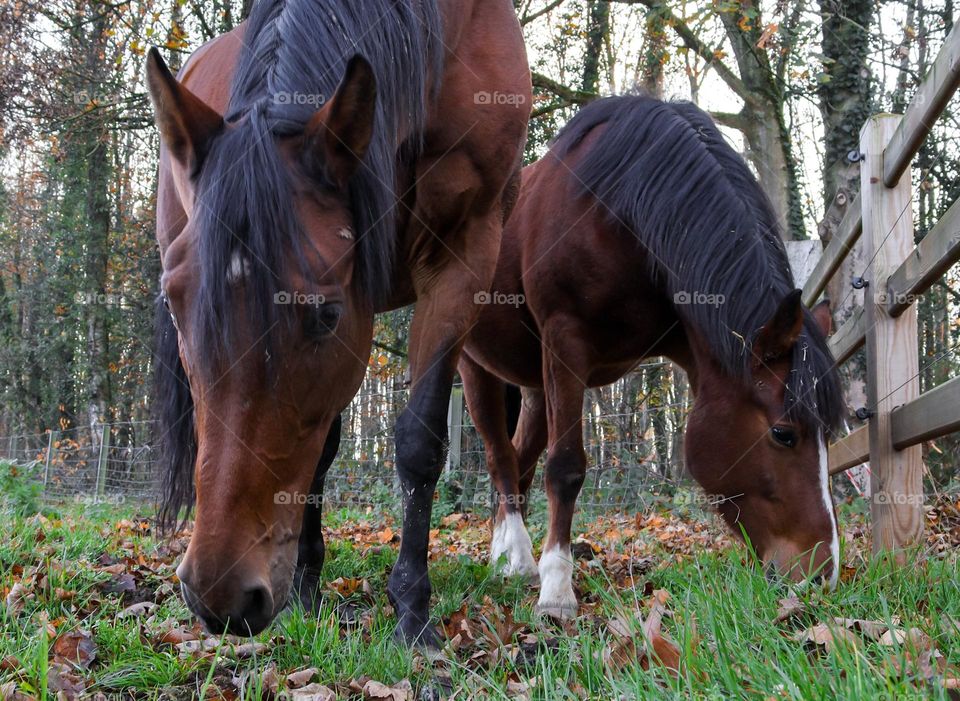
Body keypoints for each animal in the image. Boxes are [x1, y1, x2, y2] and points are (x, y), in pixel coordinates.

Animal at [148, 0, 532, 644]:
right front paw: (308, 588)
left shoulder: (462, 255)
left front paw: (412, 611)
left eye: (324, 313)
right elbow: (321, 448)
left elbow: (420, 440)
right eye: (175, 302)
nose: (217, 596)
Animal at [462, 94, 844, 616]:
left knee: (518, 461)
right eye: (784, 434)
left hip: (537, 386)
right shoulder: (564, 342)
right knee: (499, 458)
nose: (822, 574)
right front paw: (557, 590)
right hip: (475, 366)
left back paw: (503, 551)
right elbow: (565, 467)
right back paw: (517, 557)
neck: (620, 208)